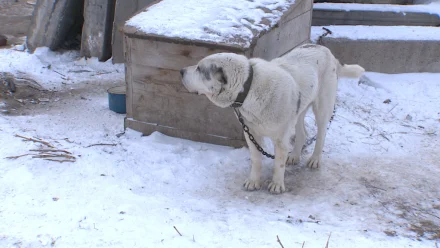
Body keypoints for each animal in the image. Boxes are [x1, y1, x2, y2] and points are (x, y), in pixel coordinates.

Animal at [180, 43, 364, 194]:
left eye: (199, 69)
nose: (181, 71)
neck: (249, 87)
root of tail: (327, 51)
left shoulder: (281, 139)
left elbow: (279, 163)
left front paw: (277, 184)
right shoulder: (251, 133)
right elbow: (256, 159)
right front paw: (254, 181)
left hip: (322, 107)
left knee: (321, 134)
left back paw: (315, 159)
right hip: (298, 111)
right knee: (302, 133)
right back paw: (294, 155)